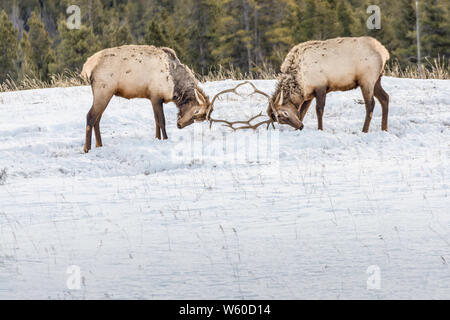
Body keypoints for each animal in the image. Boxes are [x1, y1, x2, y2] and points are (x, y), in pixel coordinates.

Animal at [80, 45, 214, 154]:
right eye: (196, 111)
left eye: (199, 119)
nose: (179, 125)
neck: (174, 86)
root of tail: (87, 67)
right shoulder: (156, 96)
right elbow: (161, 121)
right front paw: (165, 139)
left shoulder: (152, 97)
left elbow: (156, 121)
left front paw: (157, 138)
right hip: (104, 90)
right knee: (90, 116)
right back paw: (87, 148)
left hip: (105, 94)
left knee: (97, 119)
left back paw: (99, 145)